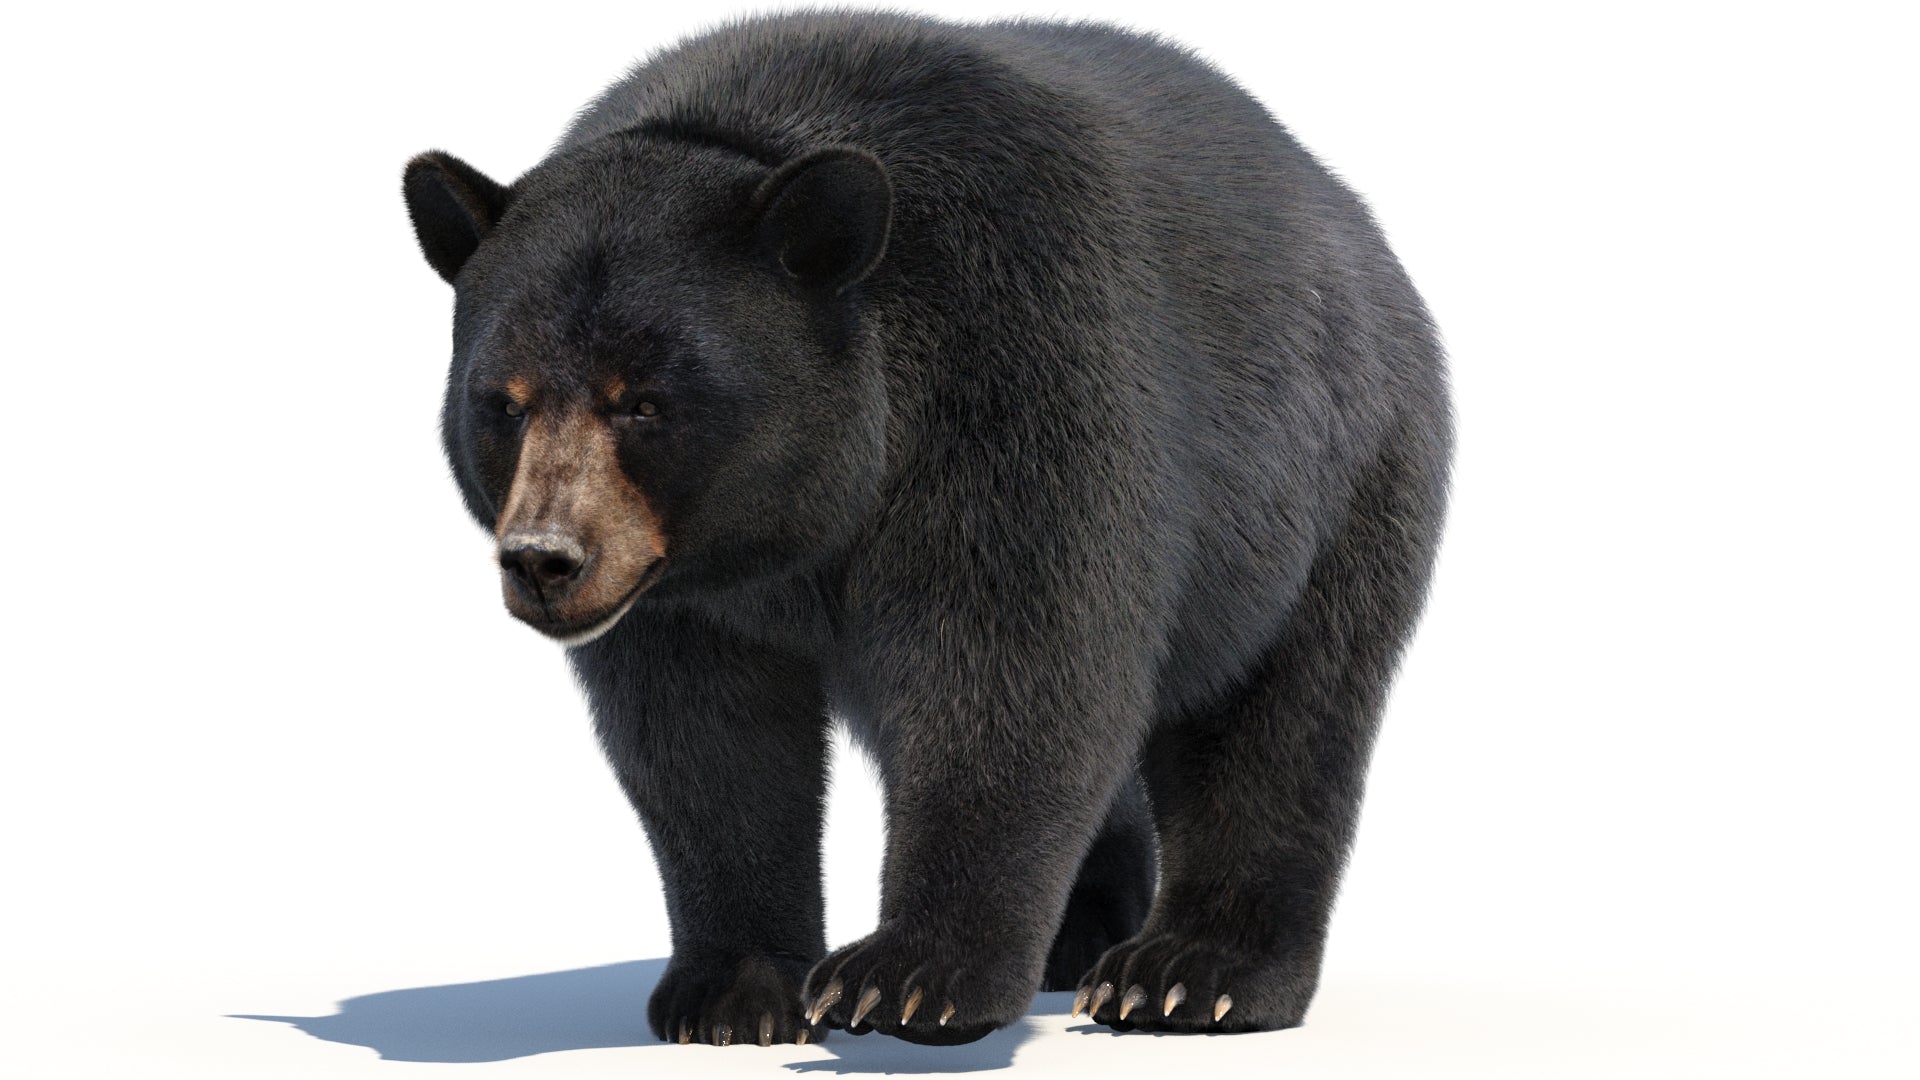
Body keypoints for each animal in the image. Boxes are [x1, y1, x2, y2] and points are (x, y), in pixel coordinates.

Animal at [401, 9, 1451, 1048]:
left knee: (1283, 712)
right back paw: (1079, 934)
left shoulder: (1014, 367)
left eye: (645, 402)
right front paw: (731, 992)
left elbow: (1011, 668)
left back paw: (1193, 974)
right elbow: (705, 738)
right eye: (503, 403)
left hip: (1328, 478)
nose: (544, 560)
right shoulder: (683, 585)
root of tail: (1350, 217)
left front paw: (909, 977)